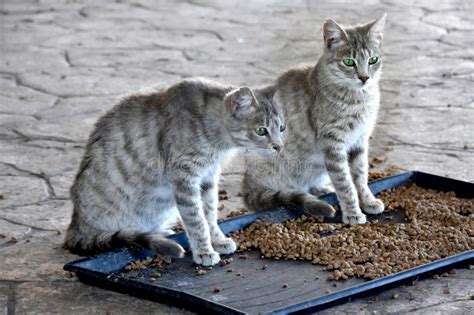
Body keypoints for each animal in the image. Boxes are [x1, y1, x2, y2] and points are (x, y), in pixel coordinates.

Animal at [64, 78, 286, 266]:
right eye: (261, 130)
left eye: (282, 128)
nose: (279, 147)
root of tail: (75, 226)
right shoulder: (185, 179)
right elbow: (197, 221)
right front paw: (204, 251)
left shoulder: (208, 178)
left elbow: (210, 215)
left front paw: (218, 240)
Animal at [243, 14, 386, 225]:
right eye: (349, 62)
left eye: (373, 60)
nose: (364, 77)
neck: (358, 99)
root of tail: (246, 184)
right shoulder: (333, 143)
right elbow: (345, 183)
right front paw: (353, 213)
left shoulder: (360, 140)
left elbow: (360, 176)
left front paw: (368, 201)